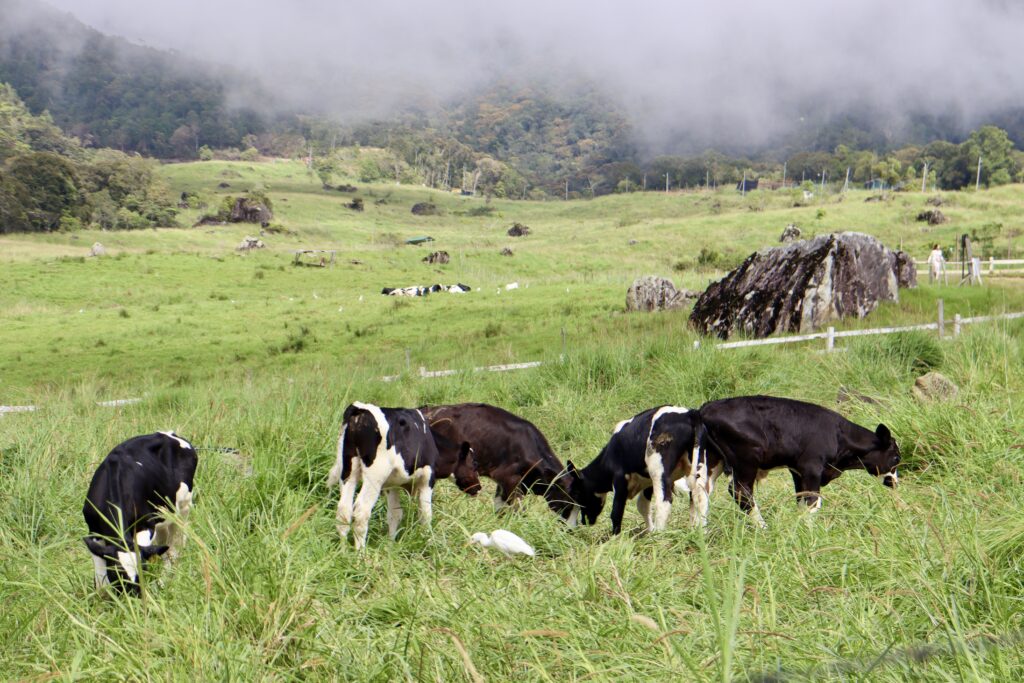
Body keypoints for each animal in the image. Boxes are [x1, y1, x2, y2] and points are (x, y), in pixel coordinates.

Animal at [81, 432, 197, 593]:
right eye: (116, 572)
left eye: (143, 569)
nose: (133, 596)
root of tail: (168, 434)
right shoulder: (94, 531)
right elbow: (100, 580)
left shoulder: (145, 525)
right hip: (162, 516)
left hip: (183, 508)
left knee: (174, 548)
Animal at [327, 401, 479, 548]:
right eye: (473, 463)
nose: (478, 487)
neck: (432, 443)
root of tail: (360, 409)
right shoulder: (428, 480)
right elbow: (425, 514)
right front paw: (427, 541)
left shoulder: (391, 485)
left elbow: (395, 514)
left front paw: (390, 545)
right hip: (375, 476)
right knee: (361, 512)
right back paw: (360, 554)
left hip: (348, 470)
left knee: (343, 512)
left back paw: (343, 551)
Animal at [417, 403, 593, 528]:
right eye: (568, 503)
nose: (571, 530)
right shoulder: (509, 478)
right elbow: (517, 510)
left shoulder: (504, 482)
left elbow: (499, 507)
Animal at [573, 405, 708, 532]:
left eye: (579, 495)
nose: (584, 521)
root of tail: (689, 414)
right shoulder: (647, 481)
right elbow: (642, 505)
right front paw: (649, 531)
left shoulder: (620, 478)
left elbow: (616, 511)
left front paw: (616, 537)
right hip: (699, 464)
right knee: (700, 496)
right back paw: (700, 530)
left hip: (658, 470)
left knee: (664, 501)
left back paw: (658, 534)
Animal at [700, 395, 901, 528]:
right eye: (896, 457)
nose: (895, 483)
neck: (839, 436)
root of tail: (707, 408)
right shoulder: (811, 467)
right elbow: (813, 501)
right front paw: (810, 532)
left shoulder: (797, 470)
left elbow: (801, 500)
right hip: (745, 460)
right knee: (741, 492)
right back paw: (763, 528)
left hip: (712, 460)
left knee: (701, 491)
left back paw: (701, 531)